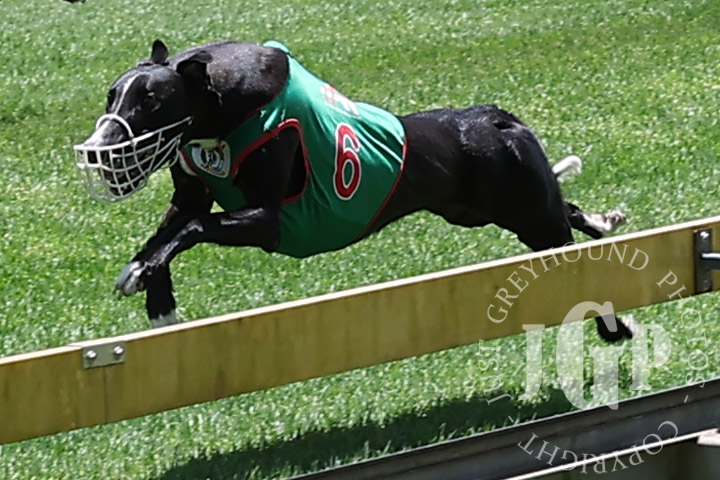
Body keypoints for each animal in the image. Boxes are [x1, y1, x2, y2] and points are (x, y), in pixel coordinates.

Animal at [74, 39, 631, 341]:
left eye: (150, 99)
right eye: (111, 94)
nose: (97, 149)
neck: (222, 107)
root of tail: (497, 118)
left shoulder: (271, 221)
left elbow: (190, 228)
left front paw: (144, 276)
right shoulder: (191, 193)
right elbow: (168, 233)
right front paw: (156, 296)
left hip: (528, 214)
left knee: (573, 253)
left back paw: (614, 323)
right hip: (486, 208)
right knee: (569, 212)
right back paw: (606, 222)